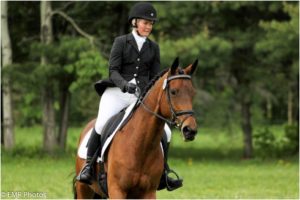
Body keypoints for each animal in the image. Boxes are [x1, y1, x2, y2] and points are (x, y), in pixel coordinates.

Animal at [74, 57, 198, 198]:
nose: (190, 130)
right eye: (173, 92)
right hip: (84, 189)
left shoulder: (149, 192)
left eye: (193, 93)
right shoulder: (117, 190)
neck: (140, 145)